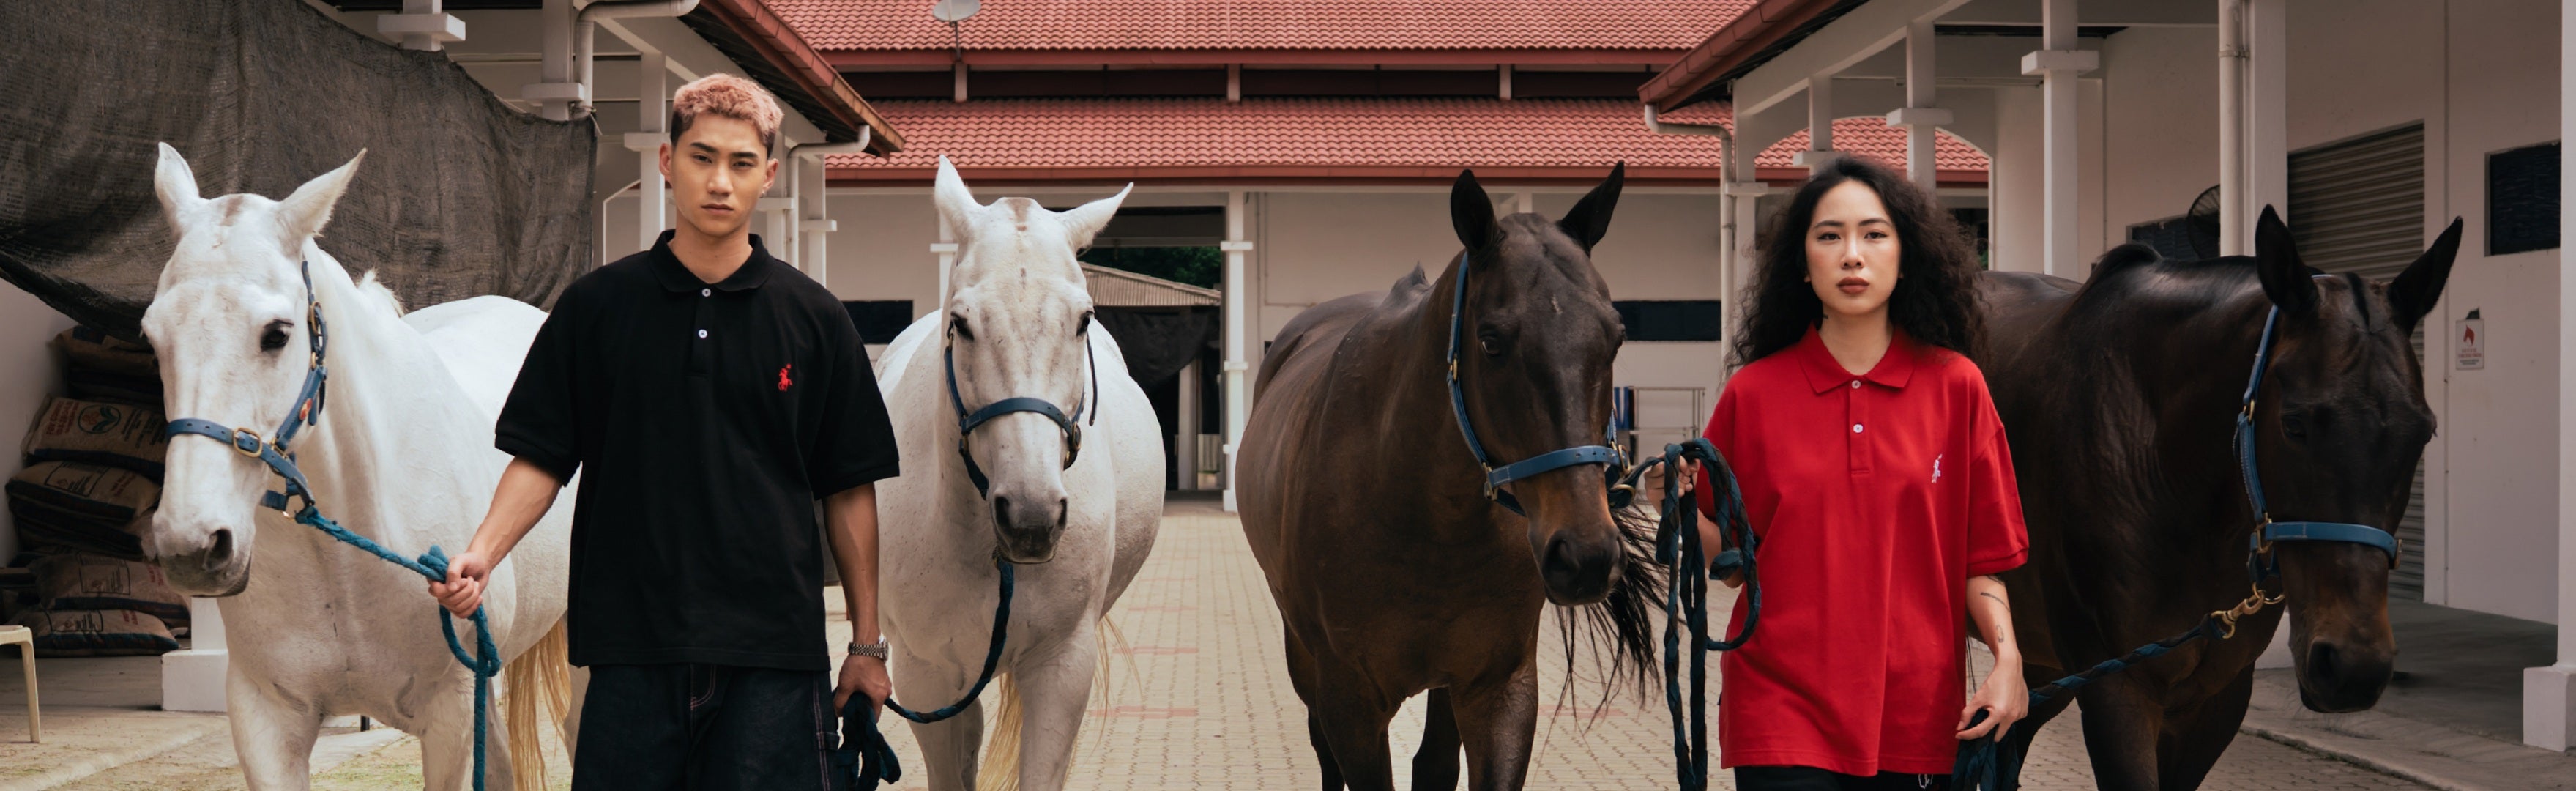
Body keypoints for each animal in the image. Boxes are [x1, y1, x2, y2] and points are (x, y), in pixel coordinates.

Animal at [1236, 166, 1660, 791]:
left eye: (1616, 335)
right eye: (1491, 340)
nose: (1584, 556)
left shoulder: (1499, 688)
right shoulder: (1351, 700)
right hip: (1303, 652)